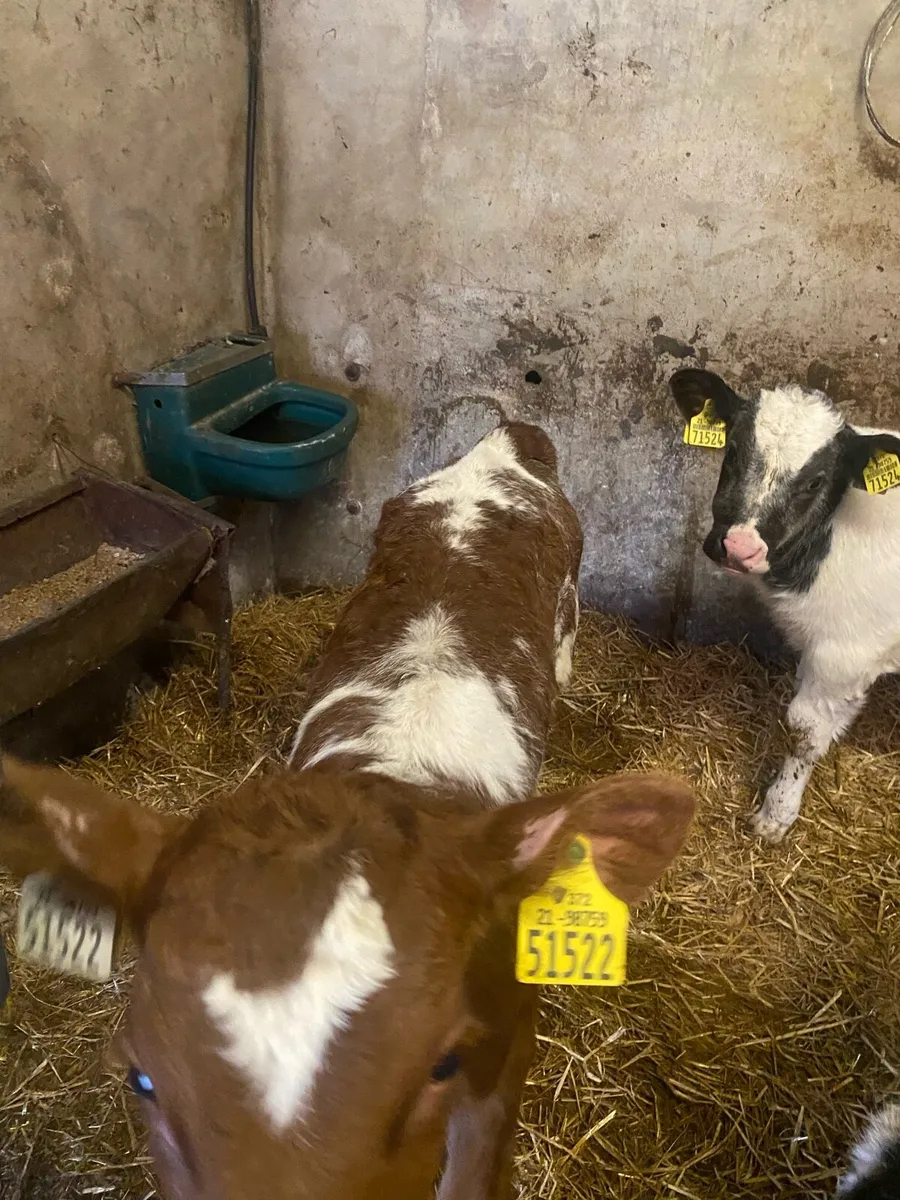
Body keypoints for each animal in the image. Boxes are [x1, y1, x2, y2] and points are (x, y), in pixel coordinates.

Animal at [670, 368, 900, 843]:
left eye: (815, 481)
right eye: (732, 452)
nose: (740, 547)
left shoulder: (844, 654)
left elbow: (803, 732)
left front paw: (776, 813)